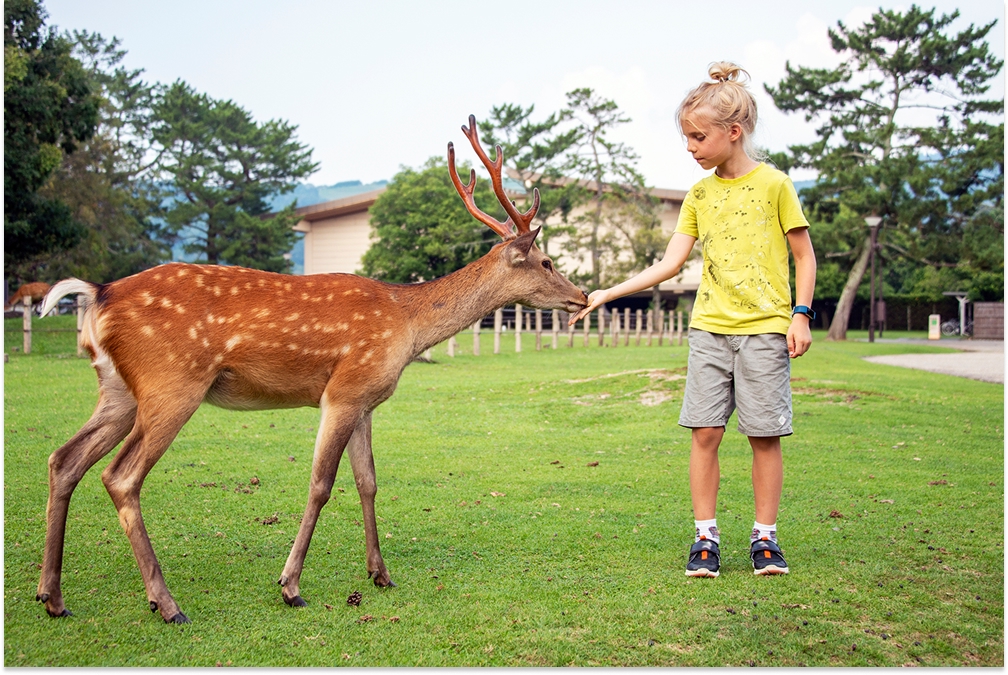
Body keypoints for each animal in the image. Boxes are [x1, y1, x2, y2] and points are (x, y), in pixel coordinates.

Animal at [34, 115, 587, 624]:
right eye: (546, 261)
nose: (582, 296)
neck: (406, 326)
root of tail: (97, 295)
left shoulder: (366, 400)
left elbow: (368, 481)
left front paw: (380, 574)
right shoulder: (342, 392)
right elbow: (321, 484)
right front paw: (290, 585)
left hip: (118, 390)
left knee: (64, 458)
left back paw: (52, 596)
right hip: (172, 383)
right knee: (120, 476)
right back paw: (166, 603)